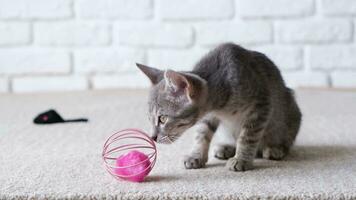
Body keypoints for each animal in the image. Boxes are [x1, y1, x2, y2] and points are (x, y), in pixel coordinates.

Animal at [136, 43, 300, 171]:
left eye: (163, 119)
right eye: (150, 118)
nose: (152, 137)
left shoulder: (261, 105)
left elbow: (247, 137)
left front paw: (242, 159)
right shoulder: (208, 115)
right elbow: (201, 134)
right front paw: (196, 156)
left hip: (289, 112)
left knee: (286, 139)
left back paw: (275, 149)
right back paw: (227, 148)